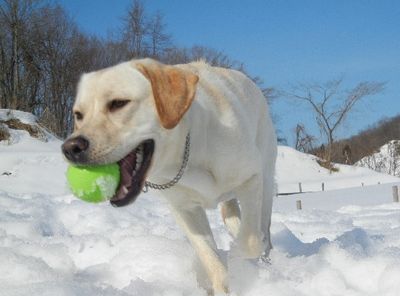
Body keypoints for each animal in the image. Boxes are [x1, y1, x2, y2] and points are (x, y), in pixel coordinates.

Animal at [62, 58, 276, 294]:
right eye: (79, 115)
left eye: (118, 103)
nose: (70, 148)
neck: (186, 156)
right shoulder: (184, 209)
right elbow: (210, 257)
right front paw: (223, 285)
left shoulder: (251, 178)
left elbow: (250, 242)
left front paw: (239, 261)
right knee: (230, 212)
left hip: (266, 180)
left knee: (262, 229)